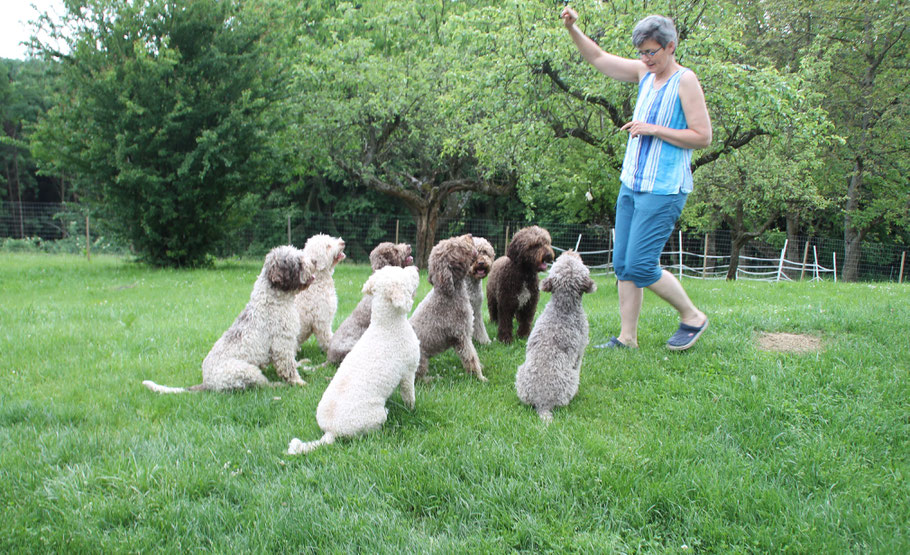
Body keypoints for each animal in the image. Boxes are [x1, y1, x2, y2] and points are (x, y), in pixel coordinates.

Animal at [141, 245, 316, 394]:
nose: (313, 266)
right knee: (261, 385)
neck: (274, 299)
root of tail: (207, 383)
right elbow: (288, 367)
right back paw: (277, 385)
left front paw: (302, 364)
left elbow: (293, 362)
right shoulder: (282, 344)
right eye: (299, 262)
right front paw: (299, 383)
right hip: (246, 370)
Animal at [286, 266, 422, 456]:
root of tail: (331, 431)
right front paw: (412, 409)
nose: (416, 268)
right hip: (375, 417)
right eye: (403, 274)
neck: (386, 325)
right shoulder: (409, 371)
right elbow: (409, 395)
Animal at [410, 233, 488, 382]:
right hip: (420, 359)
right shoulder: (462, 334)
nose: (470, 235)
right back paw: (433, 378)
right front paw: (480, 377)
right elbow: (471, 357)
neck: (448, 293)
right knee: (418, 378)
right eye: (456, 246)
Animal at [520, 251, 600, 422]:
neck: (563, 308)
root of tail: (542, 403)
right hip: (571, 380)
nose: (570, 251)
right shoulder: (581, 351)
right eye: (578, 261)